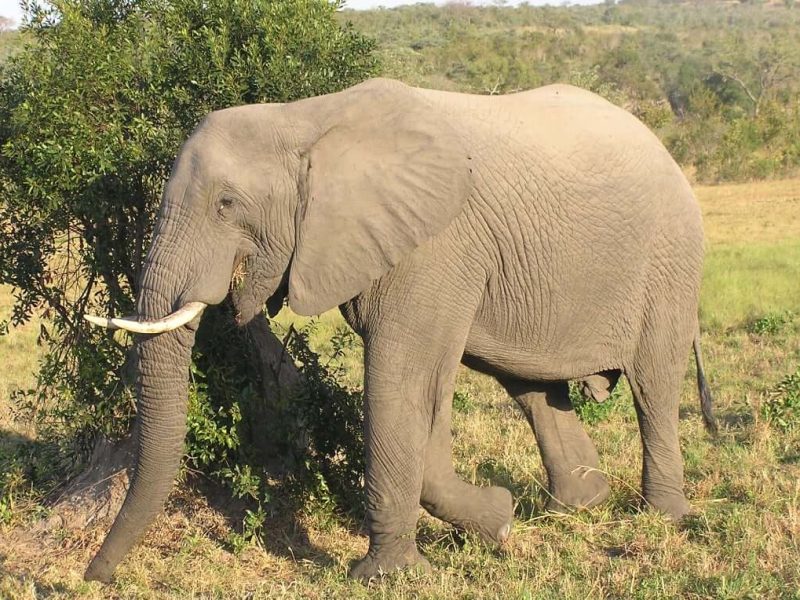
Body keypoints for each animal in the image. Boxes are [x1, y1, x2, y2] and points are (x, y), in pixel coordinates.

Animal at [82, 77, 716, 582]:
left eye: (226, 204)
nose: (96, 577)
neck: (305, 120)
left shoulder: (435, 247)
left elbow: (402, 384)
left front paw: (389, 574)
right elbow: (419, 393)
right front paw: (499, 520)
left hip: (671, 257)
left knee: (653, 385)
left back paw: (662, 515)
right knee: (532, 388)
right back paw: (579, 506)